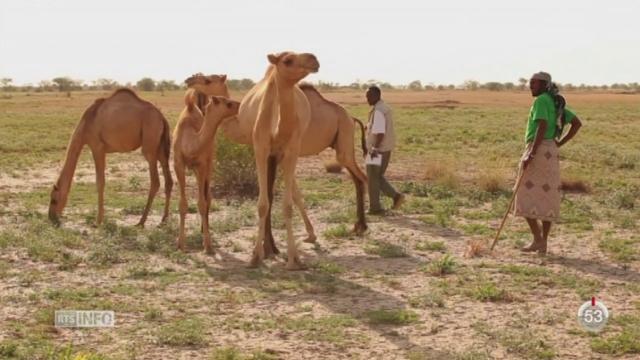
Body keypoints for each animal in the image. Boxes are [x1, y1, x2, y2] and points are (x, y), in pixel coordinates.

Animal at [48, 88, 172, 226]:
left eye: (54, 199)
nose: (51, 217)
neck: (86, 123)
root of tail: (162, 118)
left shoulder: (97, 147)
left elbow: (100, 182)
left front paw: (98, 221)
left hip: (149, 144)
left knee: (155, 181)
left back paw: (141, 221)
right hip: (160, 147)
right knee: (168, 180)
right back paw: (163, 219)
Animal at [172, 91, 240, 255]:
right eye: (228, 103)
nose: (239, 105)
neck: (189, 140)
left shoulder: (202, 164)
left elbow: (202, 203)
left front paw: (208, 246)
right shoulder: (178, 164)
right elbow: (182, 204)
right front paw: (180, 245)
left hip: (209, 164)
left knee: (207, 196)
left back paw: (204, 230)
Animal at [182, 72, 368, 256]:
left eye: (207, 80)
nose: (189, 79)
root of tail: (352, 117)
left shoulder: (276, 155)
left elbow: (273, 196)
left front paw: (270, 247)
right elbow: (295, 194)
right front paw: (310, 235)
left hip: (344, 139)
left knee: (361, 177)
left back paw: (361, 226)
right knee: (357, 179)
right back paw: (358, 226)